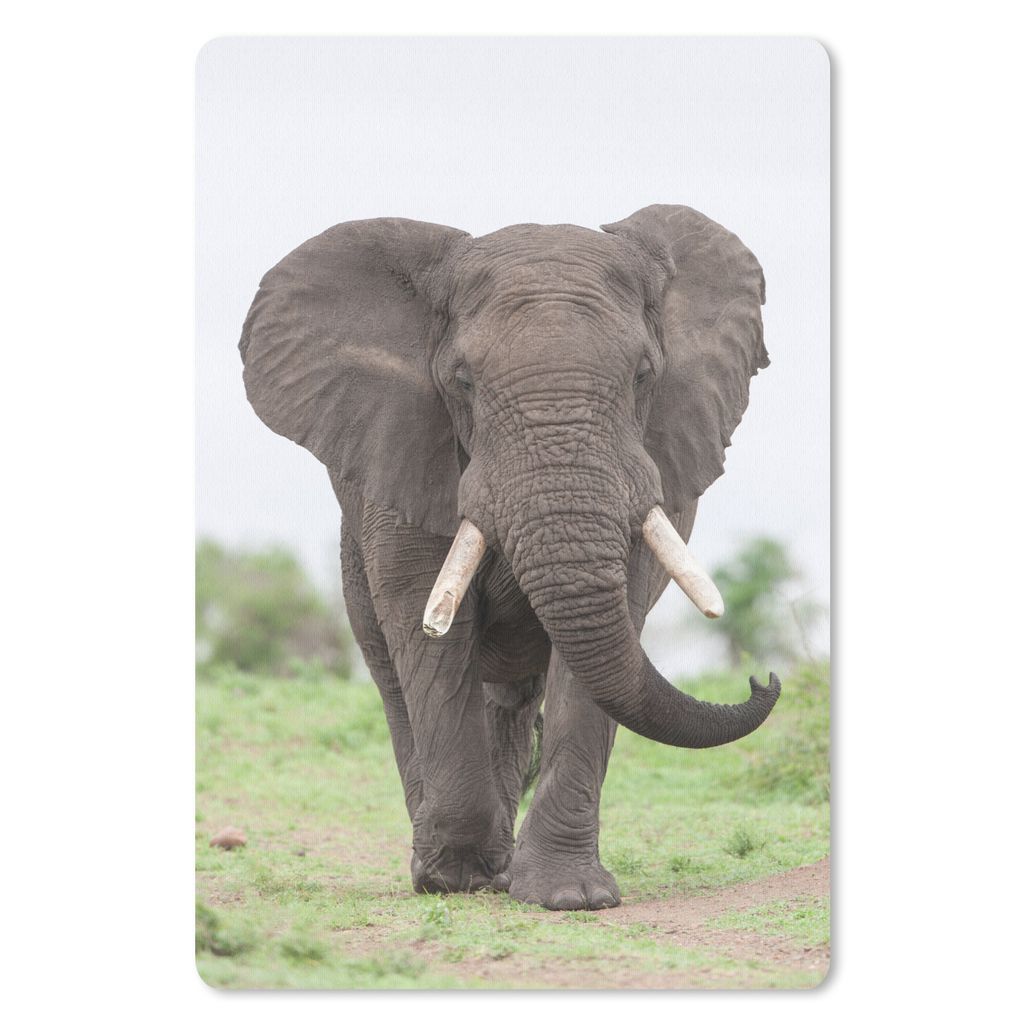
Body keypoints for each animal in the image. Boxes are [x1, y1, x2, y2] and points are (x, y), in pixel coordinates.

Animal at [239, 204, 781, 910]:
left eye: (643, 376)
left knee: (515, 695)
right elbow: (427, 624)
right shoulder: (407, 458)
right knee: (394, 674)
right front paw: (451, 879)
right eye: (463, 382)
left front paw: (570, 897)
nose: (762, 680)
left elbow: (607, 634)